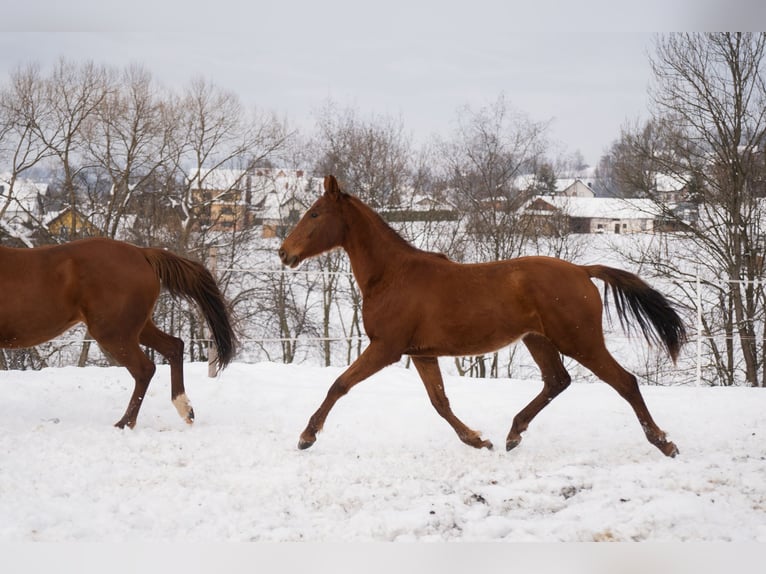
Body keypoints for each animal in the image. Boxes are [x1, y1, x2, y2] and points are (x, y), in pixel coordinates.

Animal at [0, 237, 236, 428]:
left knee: (145, 369)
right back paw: (185, 409)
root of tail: (142, 253)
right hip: (136, 329)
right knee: (174, 346)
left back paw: (124, 423)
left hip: (114, 332)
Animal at [278, 175, 687, 457]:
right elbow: (440, 403)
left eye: (314, 213)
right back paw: (513, 434)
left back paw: (664, 443)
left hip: (580, 341)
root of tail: (582, 270)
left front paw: (306, 436)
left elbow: (339, 385)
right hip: (538, 340)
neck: (392, 275)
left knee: (625, 382)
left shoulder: (386, 348)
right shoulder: (421, 354)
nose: (284, 253)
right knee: (557, 381)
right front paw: (478, 440)